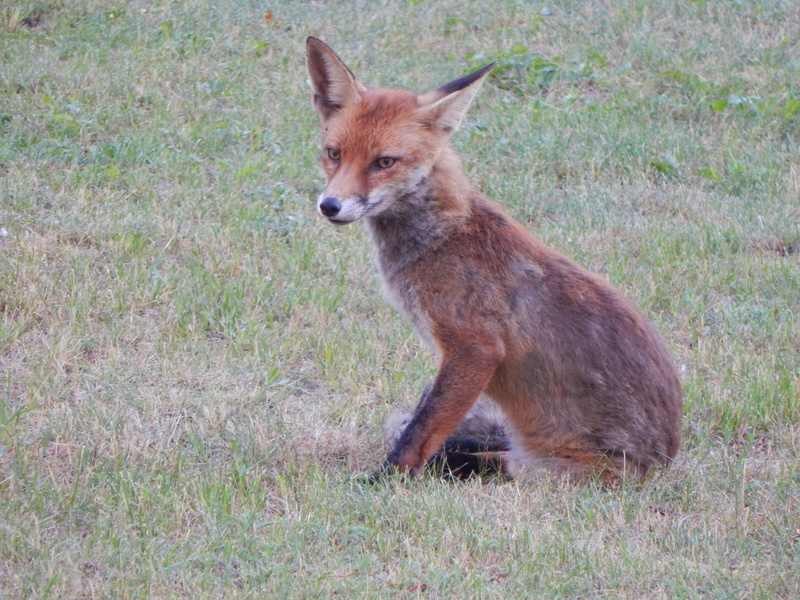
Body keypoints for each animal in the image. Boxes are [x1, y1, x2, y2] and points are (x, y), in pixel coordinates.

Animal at [305, 36, 683, 483]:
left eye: (384, 162)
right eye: (333, 154)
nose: (330, 205)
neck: (442, 235)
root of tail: (663, 462)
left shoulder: (474, 347)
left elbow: (419, 431)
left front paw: (383, 482)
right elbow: (421, 421)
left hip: (545, 470)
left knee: (491, 461)